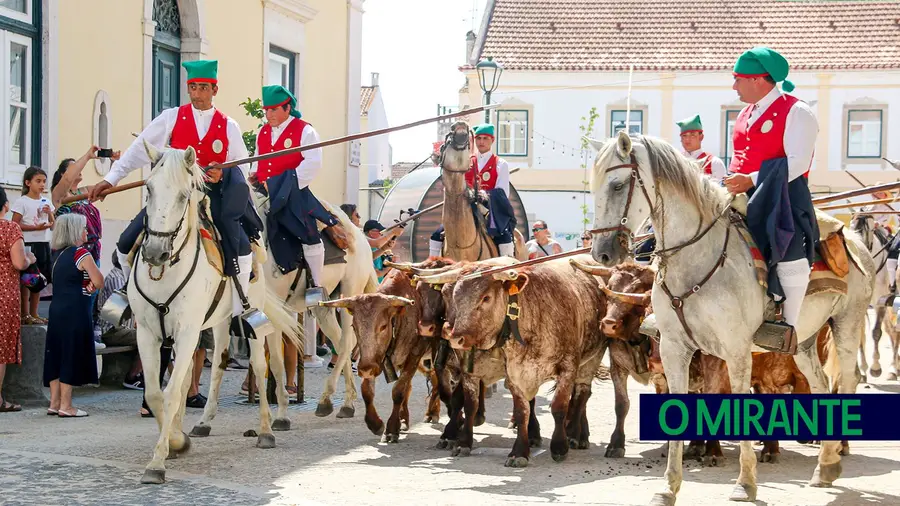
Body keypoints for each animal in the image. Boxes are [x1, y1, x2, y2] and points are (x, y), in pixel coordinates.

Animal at [130, 140, 304, 484]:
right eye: (148, 188)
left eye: (184, 195)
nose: (155, 253)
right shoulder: (149, 333)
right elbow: (158, 393)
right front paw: (175, 441)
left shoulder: (185, 332)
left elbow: (170, 392)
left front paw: (158, 462)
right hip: (216, 323)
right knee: (209, 366)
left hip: (251, 319)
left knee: (261, 367)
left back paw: (266, 430)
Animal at [251, 190, 378, 420]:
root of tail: (362, 238)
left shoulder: (273, 313)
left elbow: (275, 361)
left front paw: (281, 415)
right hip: (324, 305)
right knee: (339, 340)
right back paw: (347, 401)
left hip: (350, 295)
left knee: (347, 342)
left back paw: (329, 401)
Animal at [434, 255, 604, 468]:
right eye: (452, 296)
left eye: (486, 298)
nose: (455, 337)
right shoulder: (510, 373)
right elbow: (517, 410)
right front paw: (518, 451)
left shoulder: (568, 368)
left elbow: (559, 407)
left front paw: (559, 447)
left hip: (591, 361)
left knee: (582, 394)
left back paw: (575, 434)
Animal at [584, 132, 872, 504]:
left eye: (618, 185)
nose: (602, 252)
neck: (696, 258)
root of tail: (853, 239)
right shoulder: (675, 350)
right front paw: (668, 487)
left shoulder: (735, 352)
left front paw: (745, 482)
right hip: (804, 342)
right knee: (821, 384)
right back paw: (825, 465)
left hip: (848, 325)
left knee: (847, 380)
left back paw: (836, 453)